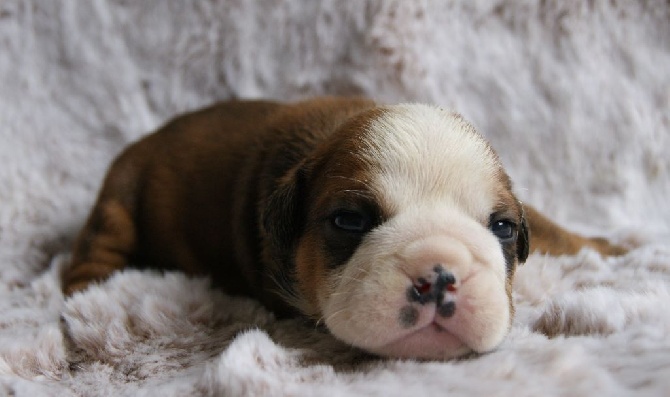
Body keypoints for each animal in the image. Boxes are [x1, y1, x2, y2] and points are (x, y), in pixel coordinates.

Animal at [61, 96, 624, 358]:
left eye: (503, 228)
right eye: (350, 221)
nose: (438, 275)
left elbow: (554, 229)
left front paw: (609, 247)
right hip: (119, 199)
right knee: (92, 253)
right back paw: (93, 296)